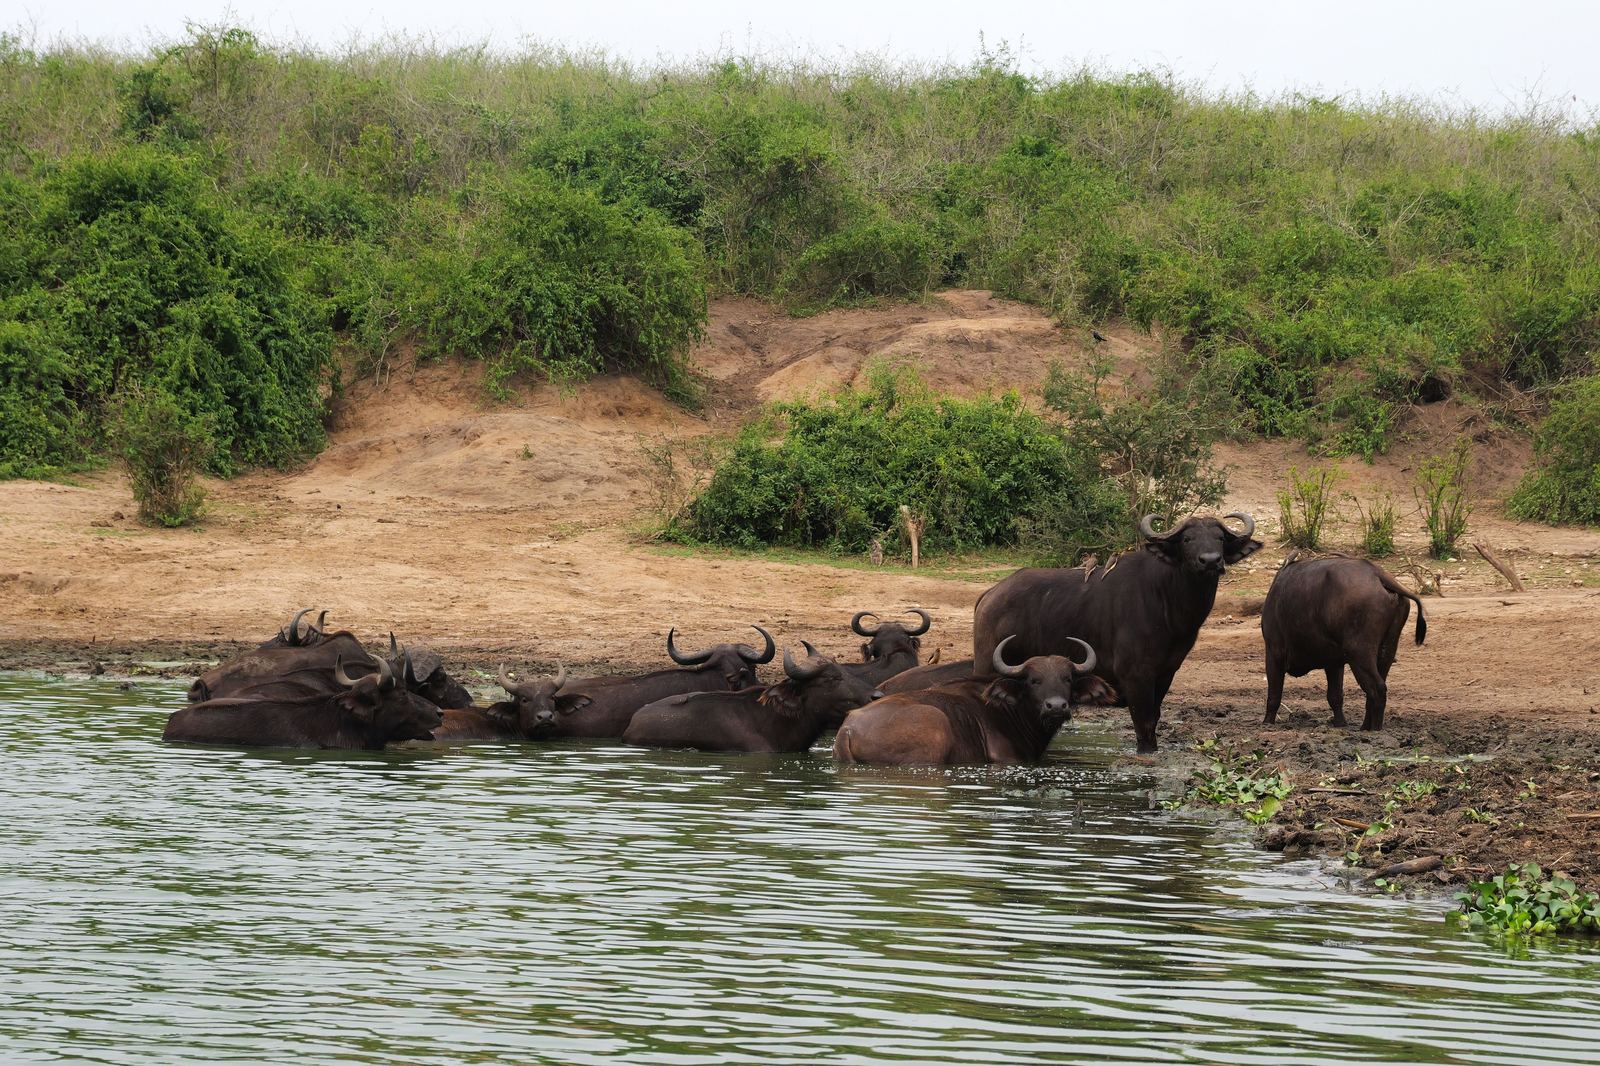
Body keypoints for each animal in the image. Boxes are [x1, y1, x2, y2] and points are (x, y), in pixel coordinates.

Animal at [973, 513, 1261, 753]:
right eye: (1187, 539)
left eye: (1220, 538)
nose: (1211, 561)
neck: (1167, 600)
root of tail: (989, 596)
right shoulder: (1135, 676)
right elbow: (1144, 724)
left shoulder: (1166, 673)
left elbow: (1154, 719)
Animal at [1261, 553, 1428, 732]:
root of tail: (1377, 574)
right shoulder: (1334, 663)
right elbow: (1335, 696)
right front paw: (1340, 724)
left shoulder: (1273, 653)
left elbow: (1274, 695)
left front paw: (1267, 723)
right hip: (1387, 650)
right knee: (1374, 690)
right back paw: (1365, 727)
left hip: (1359, 653)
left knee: (1377, 689)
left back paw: (1375, 730)